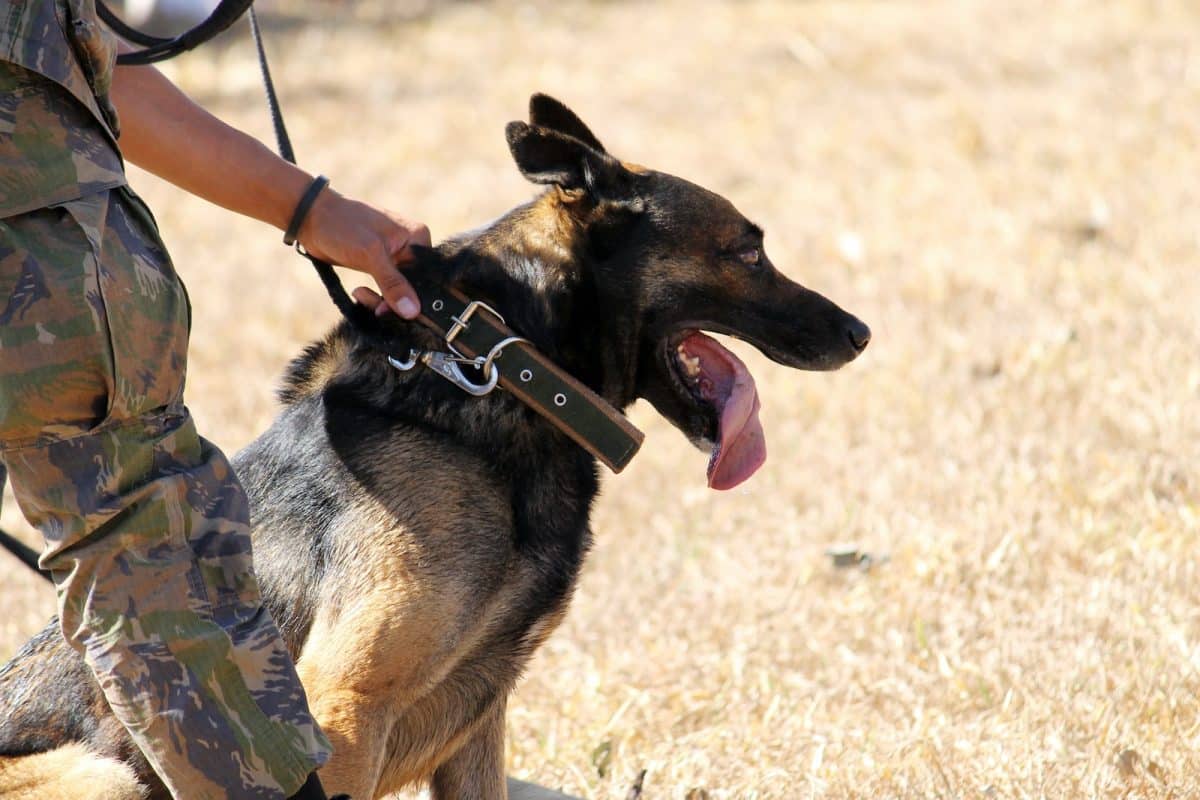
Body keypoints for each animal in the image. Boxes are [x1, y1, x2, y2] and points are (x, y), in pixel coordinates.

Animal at [0, 95, 868, 800]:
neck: (504, 371)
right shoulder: (344, 708)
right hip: (104, 774)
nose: (860, 333)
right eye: (748, 252)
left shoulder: (478, 723)